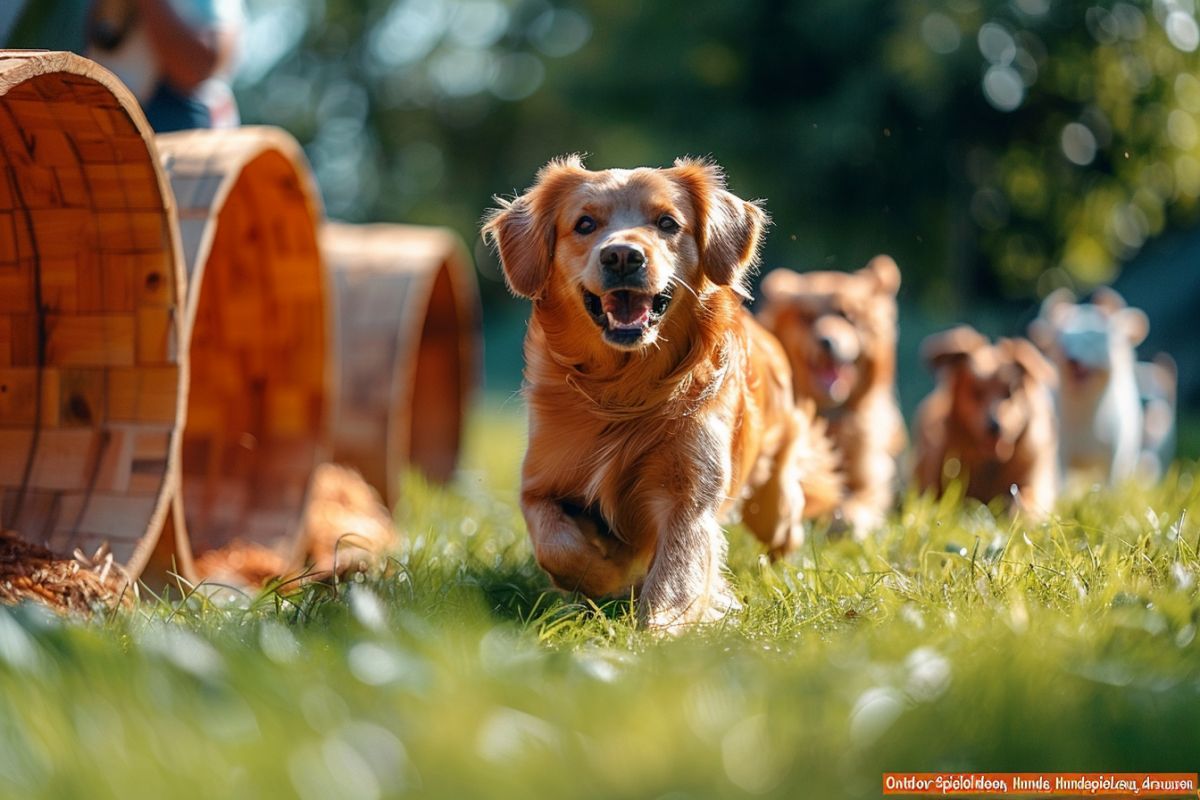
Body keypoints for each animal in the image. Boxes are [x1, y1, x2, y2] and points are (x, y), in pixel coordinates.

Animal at [482, 155, 840, 633]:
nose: (622, 255)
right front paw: (609, 573)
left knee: (787, 522)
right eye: (584, 224)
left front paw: (659, 631)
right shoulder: (540, 484)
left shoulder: (690, 495)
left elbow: (676, 573)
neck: (623, 391)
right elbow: (558, 546)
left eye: (667, 222)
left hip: (773, 504)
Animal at [758, 260, 907, 534]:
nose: (826, 341)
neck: (827, 417)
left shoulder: (870, 481)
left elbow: (858, 501)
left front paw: (846, 516)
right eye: (806, 317)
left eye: (847, 315)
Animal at [912, 326, 1056, 520]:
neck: (989, 463)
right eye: (976, 391)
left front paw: (1018, 509)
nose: (995, 426)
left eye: (1010, 391)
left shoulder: (1032, 483)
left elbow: (1027, 497)